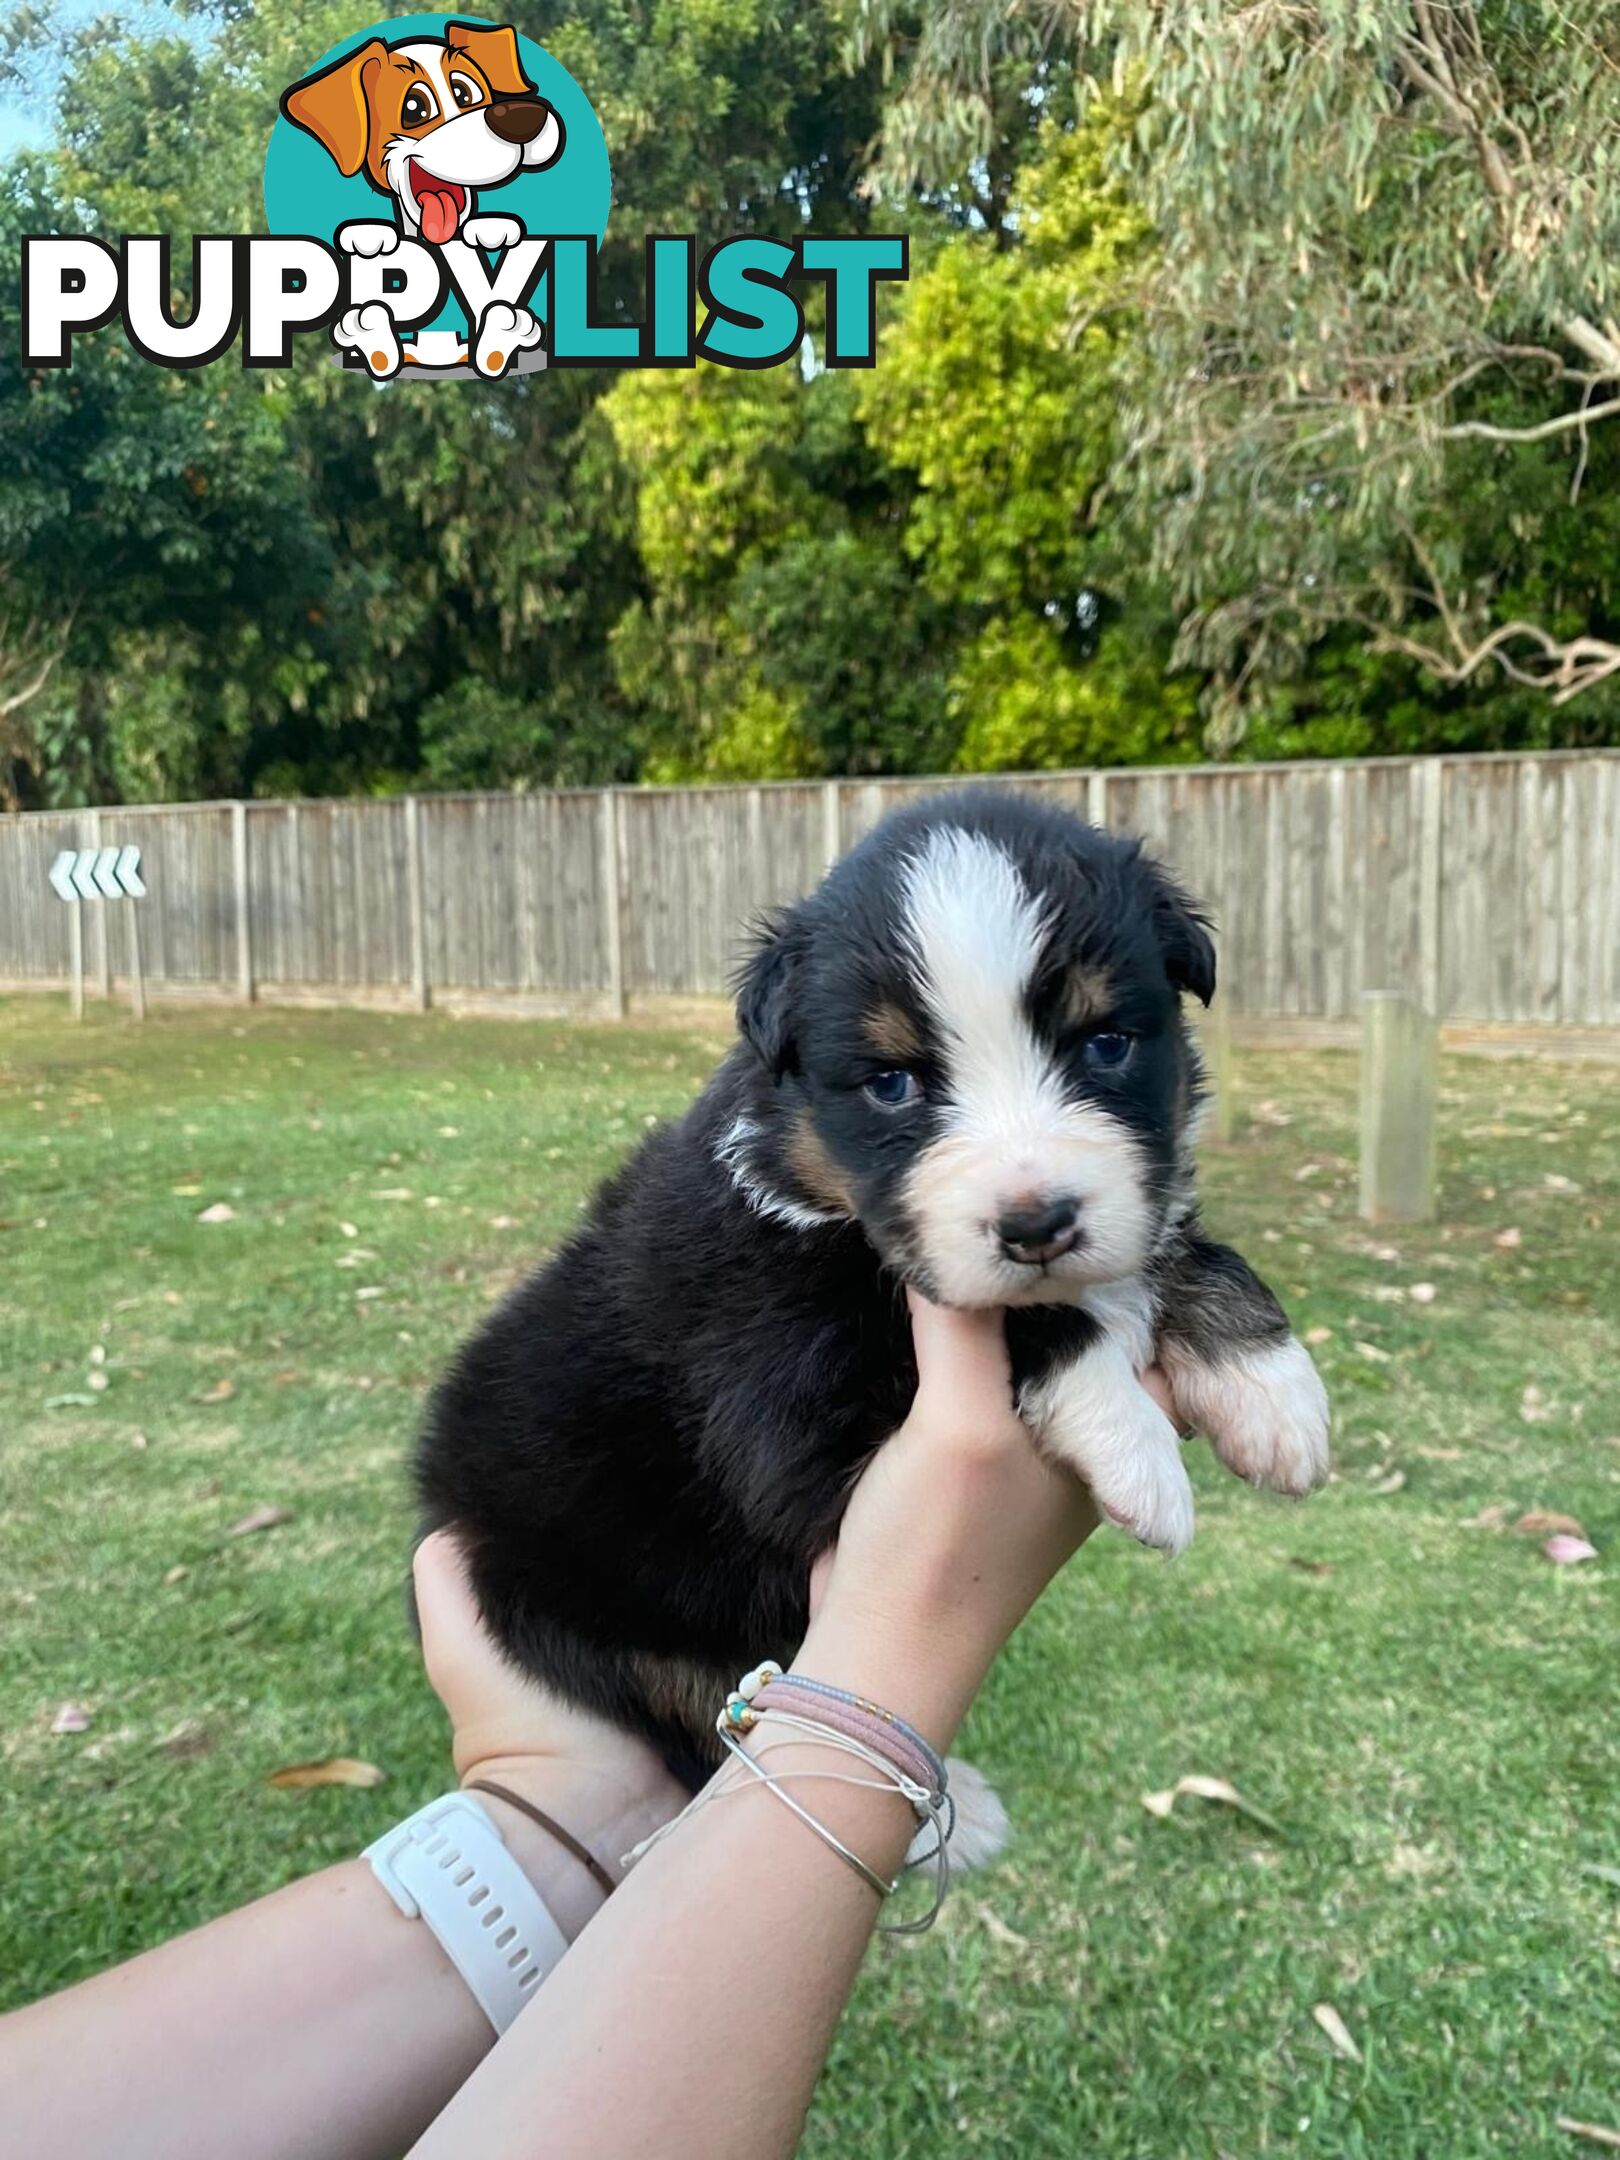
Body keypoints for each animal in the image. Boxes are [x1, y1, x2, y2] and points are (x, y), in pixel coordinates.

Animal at [419, 794, 1330, 1805]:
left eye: (1106, 1043)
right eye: (893, 1084)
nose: (1038, 1226)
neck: (809, 1194)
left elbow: (1170, 1247)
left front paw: (1271, 1391)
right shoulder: (783, 1414)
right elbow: (1021, 1313)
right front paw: (1139, 1453)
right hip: (604, 1616)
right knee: (704, 1721)